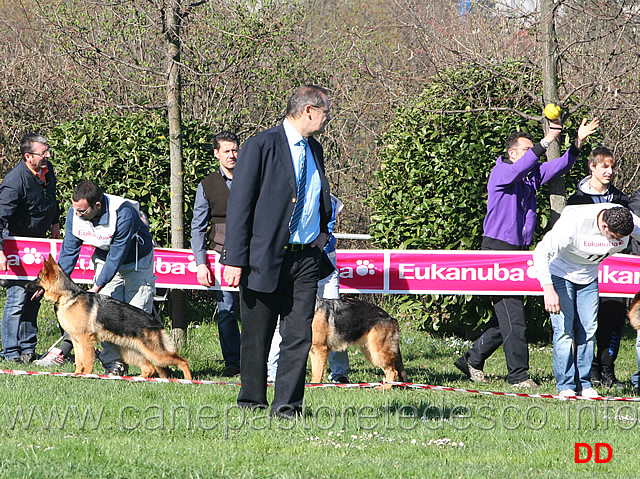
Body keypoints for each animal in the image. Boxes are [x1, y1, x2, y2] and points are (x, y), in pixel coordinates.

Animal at [26, 256, 192, 380]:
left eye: (38, 278)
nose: (26, 286)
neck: (68, 297)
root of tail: (156, 322)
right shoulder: (76, 340)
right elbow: (79, 361)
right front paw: (77, 375)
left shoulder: (86, 340)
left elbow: (87, 361)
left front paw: (87, 376)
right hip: (131, 352)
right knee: (149, 368)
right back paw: (135, 379)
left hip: (156, 354)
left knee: (182, 361)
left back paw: (189, 381)